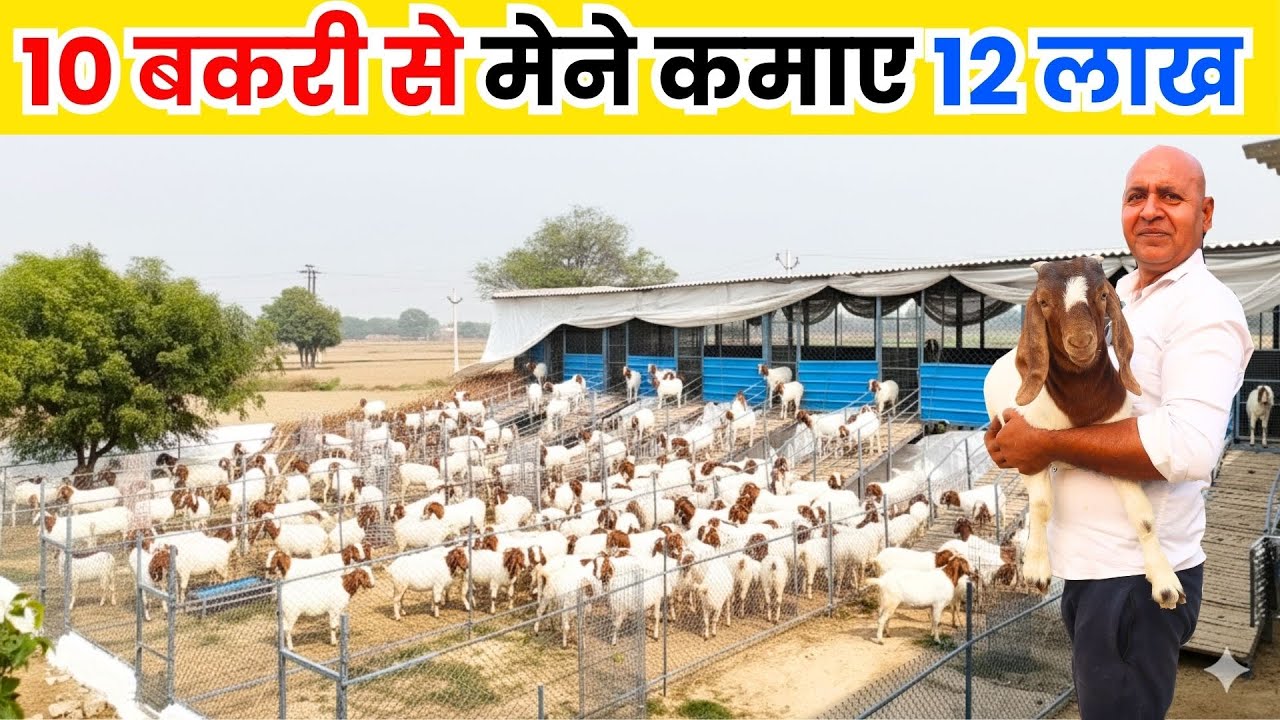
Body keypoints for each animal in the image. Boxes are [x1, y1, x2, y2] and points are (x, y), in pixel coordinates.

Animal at [983, 256, 1184, 609]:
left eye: (1103, 295)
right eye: (1044, 301)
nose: (1080, 342)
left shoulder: (1118, 456)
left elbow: (1143, 516)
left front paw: (1164, 584)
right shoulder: (1024, 453)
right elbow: (1041, 506)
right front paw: (1037, 570)